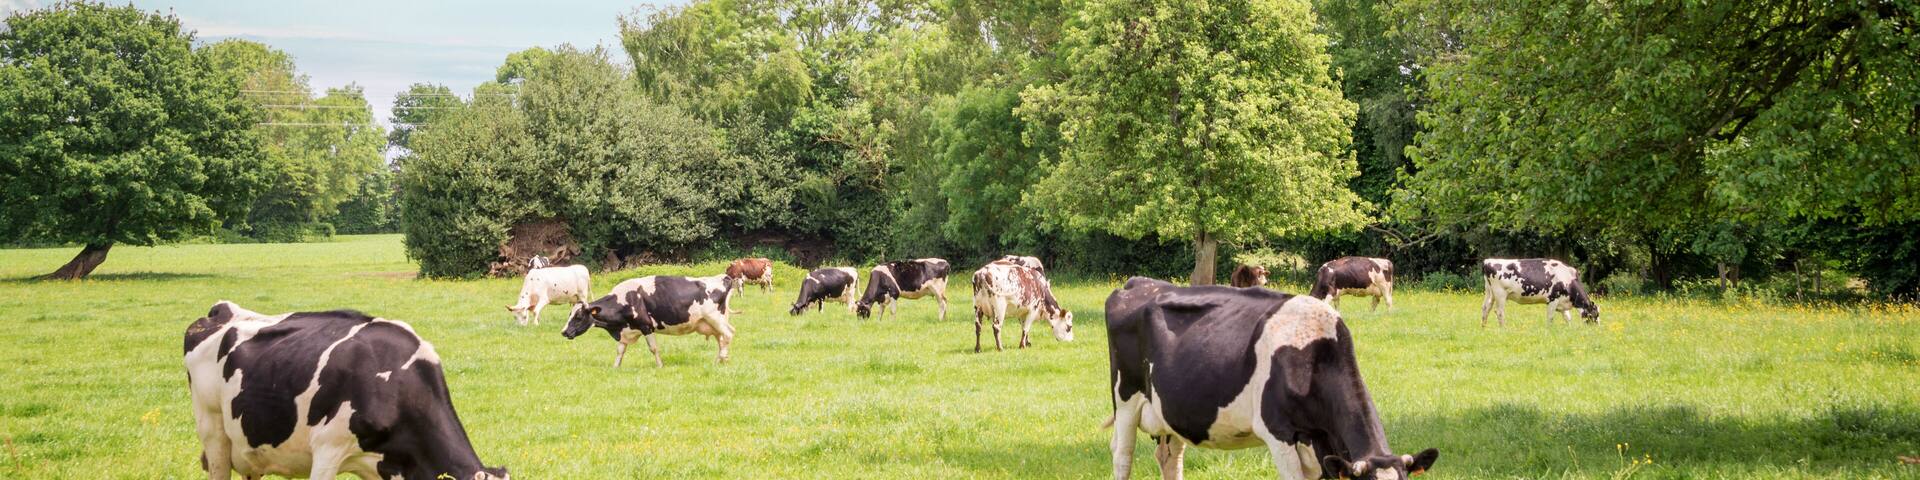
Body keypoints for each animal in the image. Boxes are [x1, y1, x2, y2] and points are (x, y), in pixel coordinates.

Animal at [563, 275, 737, 367]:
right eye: (569, 314)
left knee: (728, 334)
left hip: (715, 318)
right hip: (711, 323)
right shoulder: (625, 331)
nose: (564, 332)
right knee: (721, 339)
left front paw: (660, 366)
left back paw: (721, 359)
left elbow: (653, 348)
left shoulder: (646, 326)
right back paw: (720, 361)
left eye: (578, 317)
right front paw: (615, 367)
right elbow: (620, 350)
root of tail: (722, 278)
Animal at [1104, 278, 1439, 480]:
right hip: (1125, 400)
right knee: (1122, 455)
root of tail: (1139, 283)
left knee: (1170, 458)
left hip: (1170, 411)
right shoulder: (1279, 433)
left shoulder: (1322, 449)